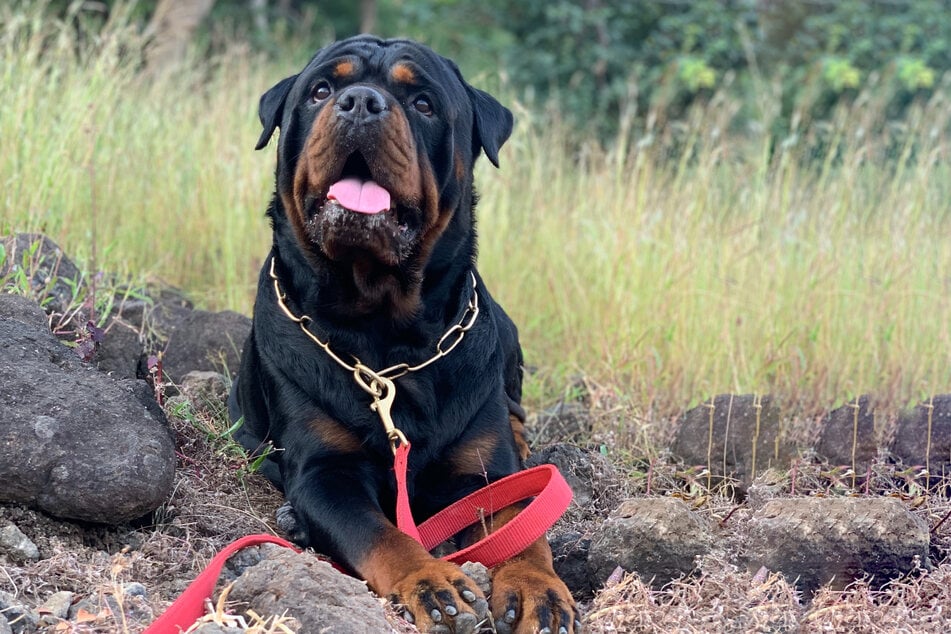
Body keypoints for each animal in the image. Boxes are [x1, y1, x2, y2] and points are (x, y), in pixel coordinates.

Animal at [229, 35, 580, 632]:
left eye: (423, 103)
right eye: (321, 90)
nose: (360, 103)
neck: (387, 337)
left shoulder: (487, 471)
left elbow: (521, 525)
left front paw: (538, 586)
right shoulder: (326, 471)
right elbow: (379, 532)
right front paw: (430, 579)